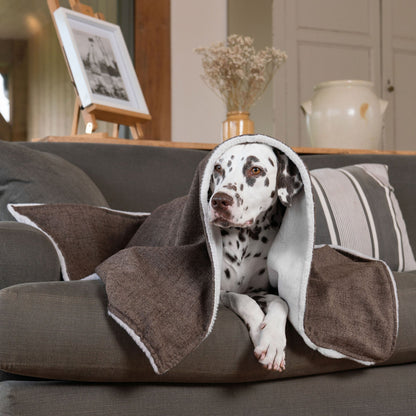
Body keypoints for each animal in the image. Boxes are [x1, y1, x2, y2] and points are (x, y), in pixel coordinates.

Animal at [208, 142, 302, 370]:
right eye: (218, 168)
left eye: (255, 170)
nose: (219, 200)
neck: (244, 239)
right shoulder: (220, 292)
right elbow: (241, 299)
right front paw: (260, 329)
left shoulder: (260, 291)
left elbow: (281, 303)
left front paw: (273, 342)